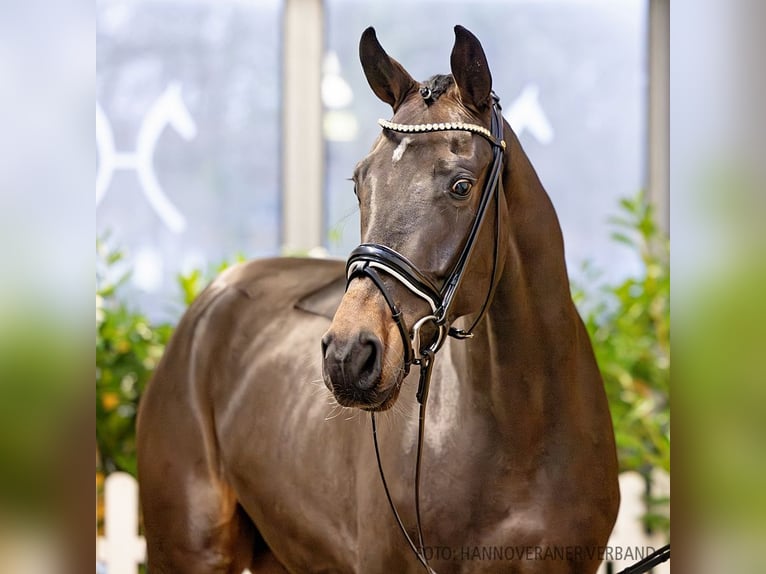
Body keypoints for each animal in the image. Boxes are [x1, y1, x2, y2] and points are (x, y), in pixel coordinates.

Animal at [136, 24, 616, 572]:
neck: (524, 426)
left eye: (461, 186)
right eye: (360, 182)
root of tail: (210, 301)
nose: (349, 355)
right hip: (190, 548)